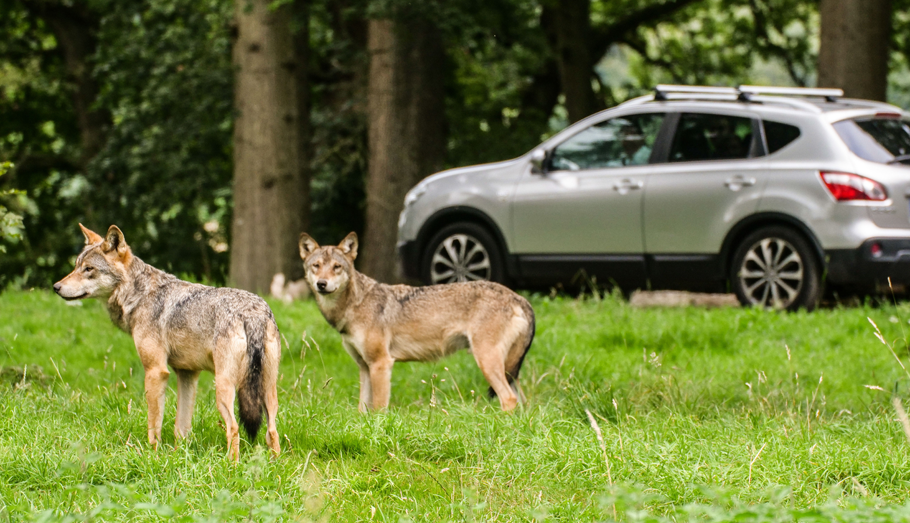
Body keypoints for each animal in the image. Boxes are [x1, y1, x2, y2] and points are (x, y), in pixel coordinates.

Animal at [54, 223, 282, 460]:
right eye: (76, 266)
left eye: (89, 269)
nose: (56, 287)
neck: (140, 296)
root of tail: (253, 313)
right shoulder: (188, 374)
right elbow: (181, 426)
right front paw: (179, 456)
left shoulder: (156, 371)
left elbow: (154, 423)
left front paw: (152, 454)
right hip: (267, 389)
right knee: (272, 432)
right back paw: (273, 464)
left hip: (224, 386)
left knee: (234, 428)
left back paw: (232, 465)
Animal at [302, 231, 536, 412]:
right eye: (316, 266)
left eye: (336, 267)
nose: (322, 284)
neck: (354, 305)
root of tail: (520, 298)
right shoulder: (364, 367)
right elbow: (362, 409)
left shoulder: (381, 363)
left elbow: (379, 408)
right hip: (508, 370)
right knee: (523, 402)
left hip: (487, 361)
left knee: (509, 399)